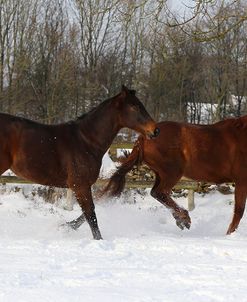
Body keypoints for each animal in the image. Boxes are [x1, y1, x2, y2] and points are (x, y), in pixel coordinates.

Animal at [0, 86, 159, 239]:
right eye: (134, 106)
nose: (155, 130)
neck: (86, 140)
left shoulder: (82, 186)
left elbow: (90, 211)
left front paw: (65, 226)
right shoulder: (80, 185)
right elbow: (91, 215)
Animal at [102, 117, 247, 235]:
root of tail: (143, 137)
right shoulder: (241, 181)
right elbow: (239, 210)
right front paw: (229, 234)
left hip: (160, 174)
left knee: (156, 192)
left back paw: (181, 219)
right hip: (172, 172)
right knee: (160, 192)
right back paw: (184, 219)